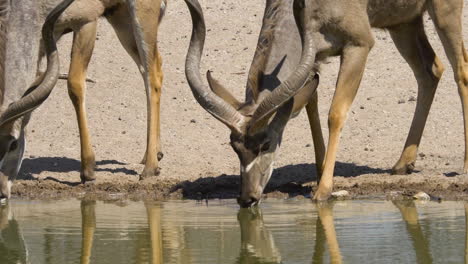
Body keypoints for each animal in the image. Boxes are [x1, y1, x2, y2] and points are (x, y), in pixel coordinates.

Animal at [0, 0, 165, 199]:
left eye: (13, 144)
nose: (1, 192)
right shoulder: (49, 38)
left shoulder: (86, 21)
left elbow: (75, 85)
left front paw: (88, 172)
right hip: (120, 19)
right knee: (150, 66)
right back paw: (154, 153)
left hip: (140, 15)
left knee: (152, 73)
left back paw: (150, 168)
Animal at [185, 0, 468, 205]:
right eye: (234, 147)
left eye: (265, 144)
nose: (247, 198)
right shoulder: (314, 58)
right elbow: (311, 102)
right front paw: (321, 172)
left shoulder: (358, 44)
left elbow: (335, 113)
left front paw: (323, 190)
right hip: (404, 23)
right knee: (430, 70)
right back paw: (402, 163)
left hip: (444, 12)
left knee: (460, 69)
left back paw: (464, 166)